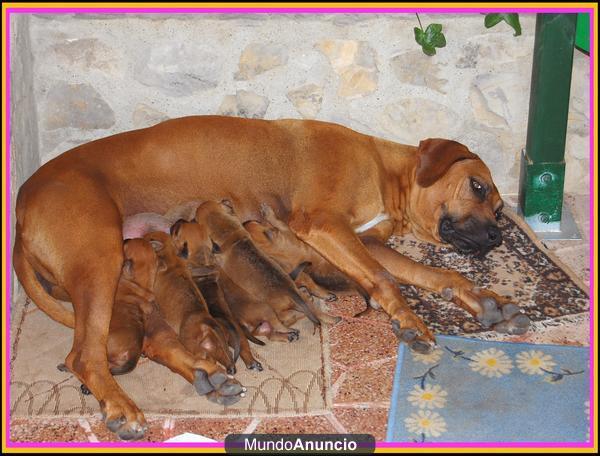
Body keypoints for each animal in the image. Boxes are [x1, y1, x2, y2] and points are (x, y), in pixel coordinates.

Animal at [169, 219, 262, 372]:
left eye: (177, 231)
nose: (178, 221)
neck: (201, 261)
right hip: (239, 338)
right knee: (244, 349)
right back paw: (252, 362)